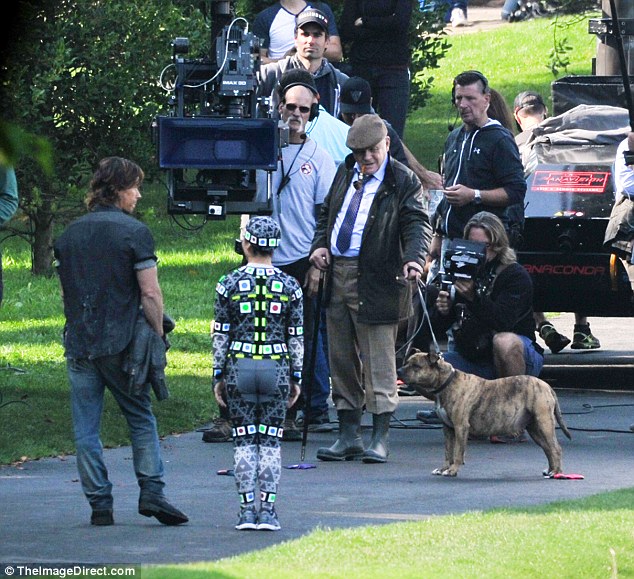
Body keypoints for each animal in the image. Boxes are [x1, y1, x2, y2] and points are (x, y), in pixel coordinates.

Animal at [398, 350, 571, 477]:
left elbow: (457, 452)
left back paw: (556, 473)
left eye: (416, 366)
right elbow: (448, 451)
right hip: (534, 428)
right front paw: (444, 468)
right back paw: (550, 470)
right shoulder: (448, 429)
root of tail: (546, 386)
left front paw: (453, 470)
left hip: (544, 423)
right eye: (406, 362)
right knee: (548, 449)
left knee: (555, 448)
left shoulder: (460, 427)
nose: (399, 370)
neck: (446, 383)